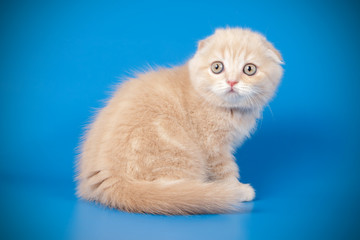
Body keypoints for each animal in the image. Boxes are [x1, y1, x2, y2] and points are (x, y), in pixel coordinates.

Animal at [76, 27, 284, 215]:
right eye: (217, 67)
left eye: (249, 69)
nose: (231, 82)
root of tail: (111, 178)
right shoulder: (213, 147)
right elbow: (225, 169)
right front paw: (237, 188)